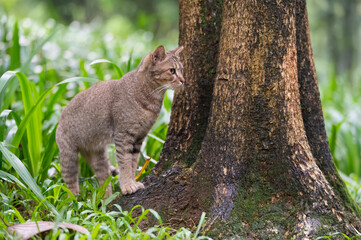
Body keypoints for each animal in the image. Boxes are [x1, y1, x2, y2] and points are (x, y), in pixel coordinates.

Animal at [54, 46, 184, 196]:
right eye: (172, 70)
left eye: (182, 70)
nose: (183, 80)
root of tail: (61, 114)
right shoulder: (123, 135)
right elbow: (125, 162)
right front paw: (127, 186)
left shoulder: (139, 137)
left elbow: (132, 163)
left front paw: (132, 182)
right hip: (68, 156)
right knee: (70, 183)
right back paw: (74, 198)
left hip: (98, 156)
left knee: (104, 181)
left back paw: (105, 200)